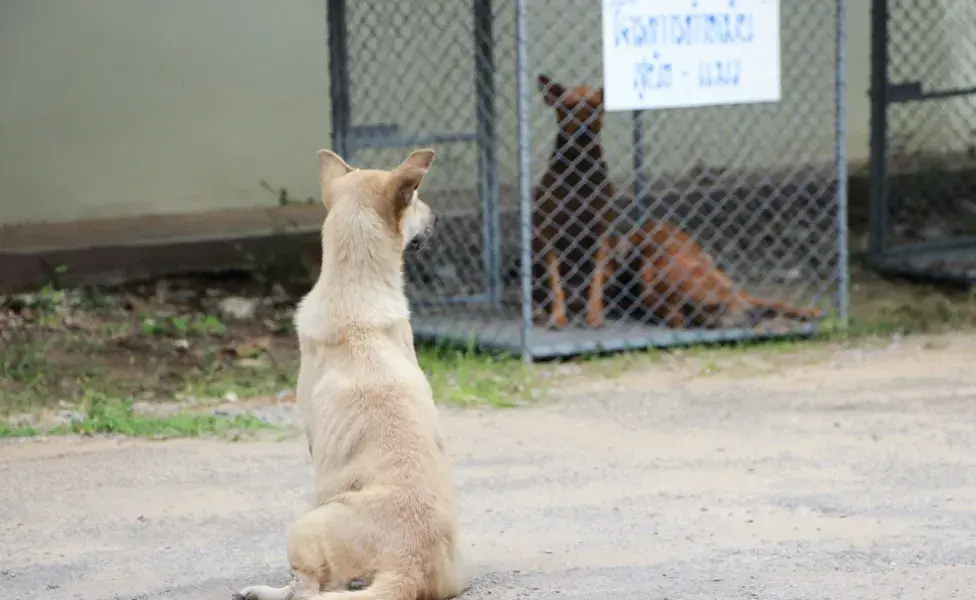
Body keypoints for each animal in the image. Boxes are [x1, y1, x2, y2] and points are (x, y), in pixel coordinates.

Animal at [233, 146, 468, 600]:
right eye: (417, 199)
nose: (437, 218)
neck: (354, 289)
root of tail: (408, 569)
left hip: (303, 528)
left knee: (306, 590)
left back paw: (261, 591)